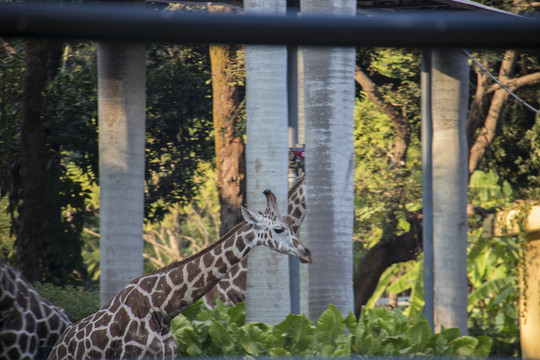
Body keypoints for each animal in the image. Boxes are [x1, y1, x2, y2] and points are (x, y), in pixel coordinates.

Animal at [48, 190, 314, 358]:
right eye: (278, 229)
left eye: (291, 227)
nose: (307, 253)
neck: (162, 309)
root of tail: (57, 346)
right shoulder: (130, 356)